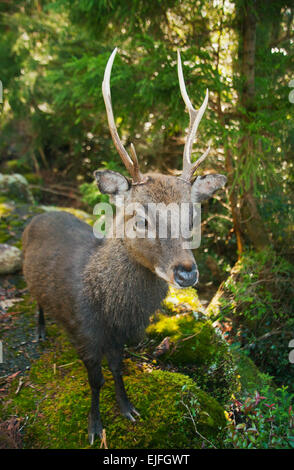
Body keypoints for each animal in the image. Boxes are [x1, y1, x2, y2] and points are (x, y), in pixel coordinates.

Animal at [21, 48, 226, 444]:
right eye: (141, 218)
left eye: (193, 216)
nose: (186, 273)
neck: (111, 310)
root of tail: (38, 216)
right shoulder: (84, 332)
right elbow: (95, 380)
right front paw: (94, 426)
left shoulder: (119, 339)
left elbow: (117, 370)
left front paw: (128, 409)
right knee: (36, 300)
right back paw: (39, 331)